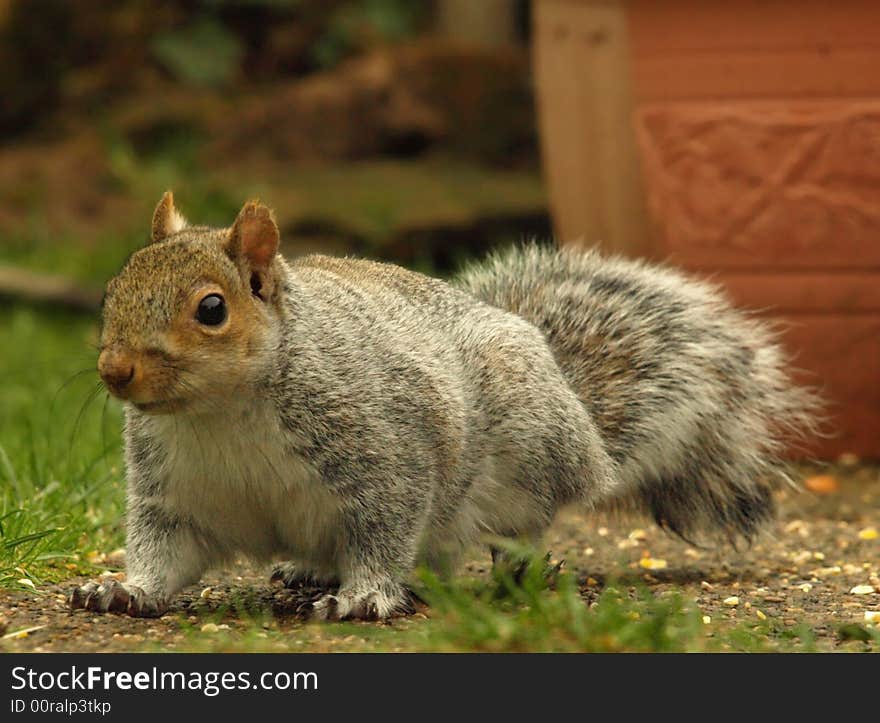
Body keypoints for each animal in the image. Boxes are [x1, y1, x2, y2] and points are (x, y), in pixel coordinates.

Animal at [69, 194, 820, 624]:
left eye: (212, 309)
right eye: (112, 287)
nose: (114, 370)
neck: (220, 411)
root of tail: (583, 425)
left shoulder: (383, 453)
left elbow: (385, 527)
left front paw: (366, 595)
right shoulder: (175, 493)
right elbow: (166, 551)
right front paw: (123, 590)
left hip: (527, 458)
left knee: (512, 527)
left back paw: (518, 572)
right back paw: (311, 569)